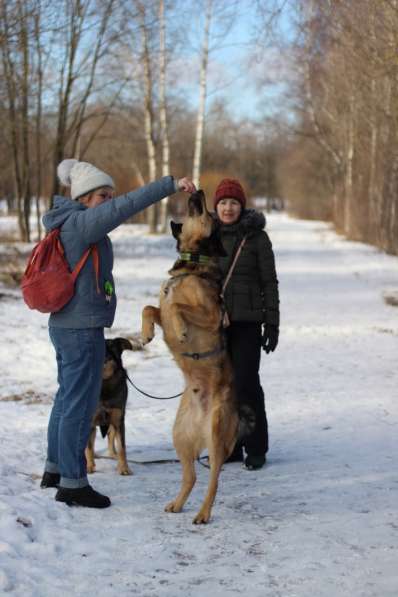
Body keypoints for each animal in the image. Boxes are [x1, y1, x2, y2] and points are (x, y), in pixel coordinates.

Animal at [84, 338, 133, 478]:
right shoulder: (90, 421)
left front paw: (124, 468)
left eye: (114, 347)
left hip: (112, 423)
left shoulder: (118, 420)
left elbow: (122, 447)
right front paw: (89, 466)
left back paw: (112, 454)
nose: (109, 356)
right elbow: (88, 447)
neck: (104, 383)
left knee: (111, 437)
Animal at [141, 190, 238, 520]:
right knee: (192, 476)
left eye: (209, 214)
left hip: (217, 434)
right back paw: (178, 503)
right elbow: (151, 308)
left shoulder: (210, 314)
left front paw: (182, 330)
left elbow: (176, 306)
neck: (190, 266)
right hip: (179, 437)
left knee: (214, 480)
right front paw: (145, 333)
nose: (197, 191)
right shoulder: (159, 306)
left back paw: (204, 513)